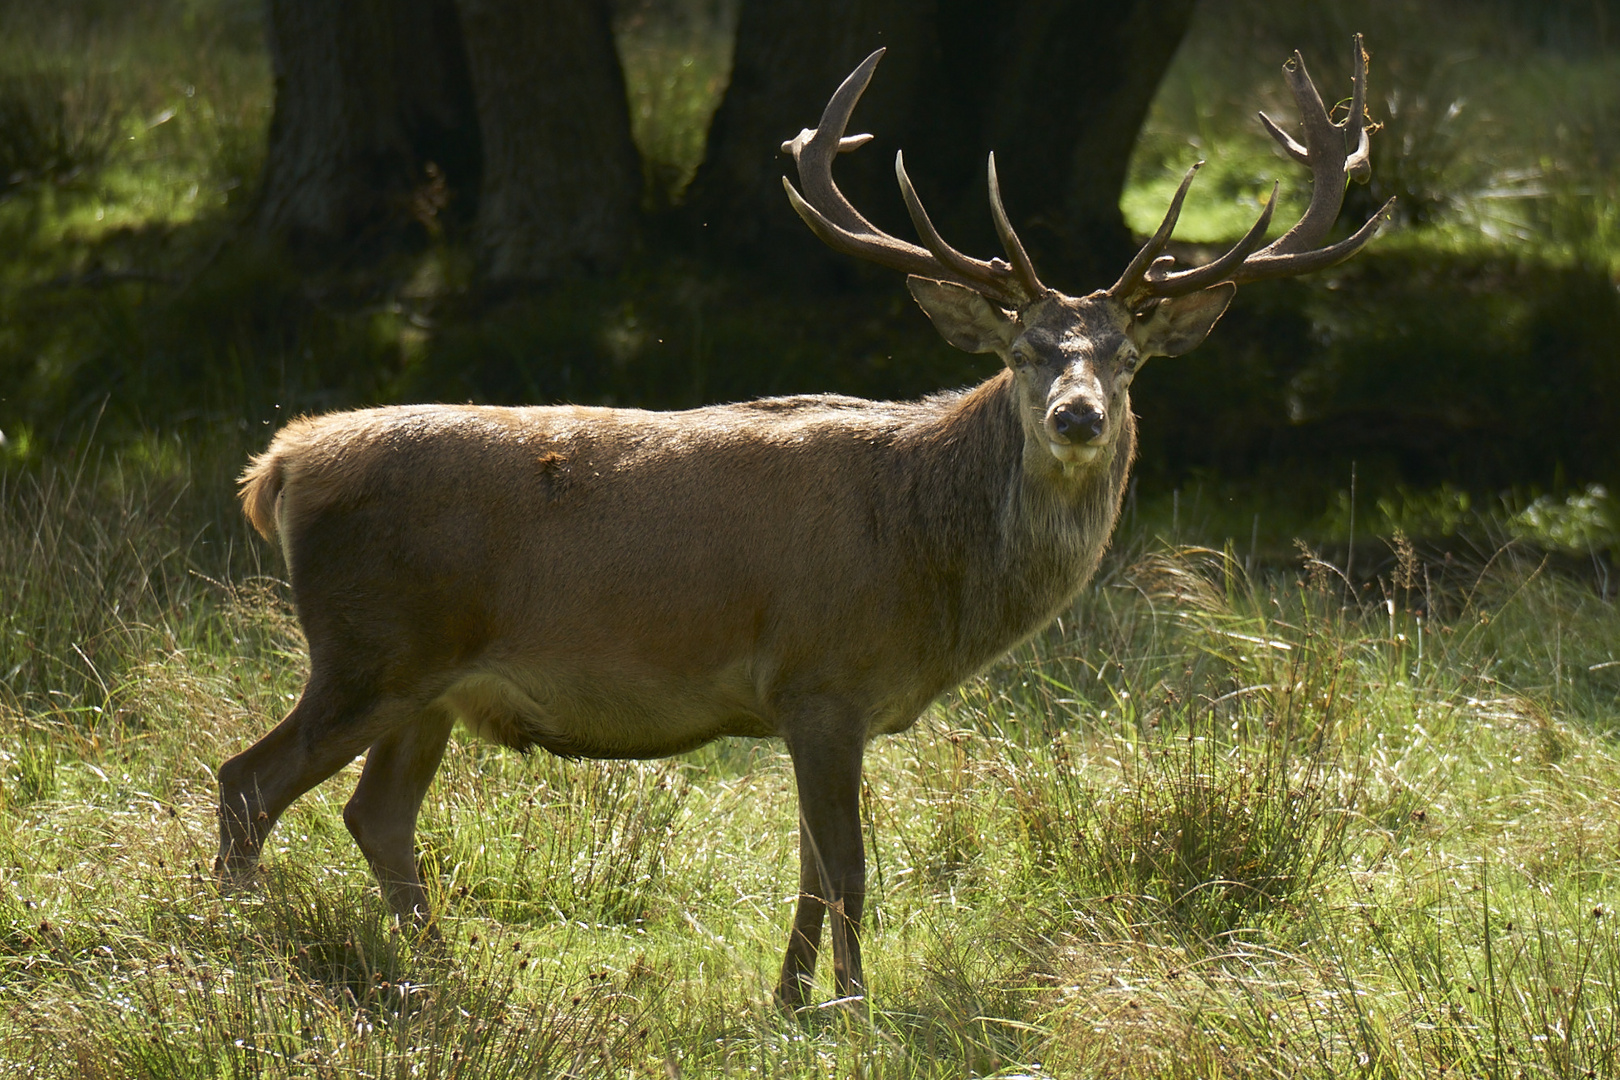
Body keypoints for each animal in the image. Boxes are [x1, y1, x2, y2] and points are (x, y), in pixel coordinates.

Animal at [215, 38, 1393, 1010]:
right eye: (1021, 353)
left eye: (1127, 358)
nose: (1077, 416)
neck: (931, 571)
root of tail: (278, 465)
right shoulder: (822, 678)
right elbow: (852, 868)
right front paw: (853, 1009)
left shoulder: (814, 705)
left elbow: (810, 869)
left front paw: (788, 1002)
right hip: (370, 645)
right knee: (249, 782)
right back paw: (235, 947)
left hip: (431, 685)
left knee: (377, 817)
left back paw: (444, 973)